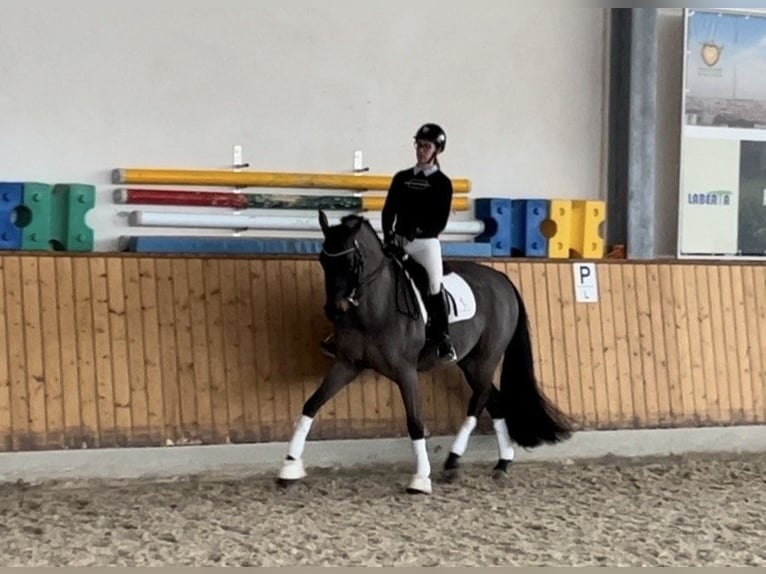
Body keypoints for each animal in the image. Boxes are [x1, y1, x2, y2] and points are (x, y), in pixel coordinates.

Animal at [277, 210, 573, 494]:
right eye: (322, 260)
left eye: (350, 263)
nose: (334, 311)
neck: (375, 309)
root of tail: (502, 279)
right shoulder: (347, 365)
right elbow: (311, 405)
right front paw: (289, 467)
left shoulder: (405, 372)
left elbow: (415, 423)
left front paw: (420, 479)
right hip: (469, 363)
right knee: (494, 400)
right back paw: (500, 463)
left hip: (485, 359)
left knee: (479, 400)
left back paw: (454, 460)